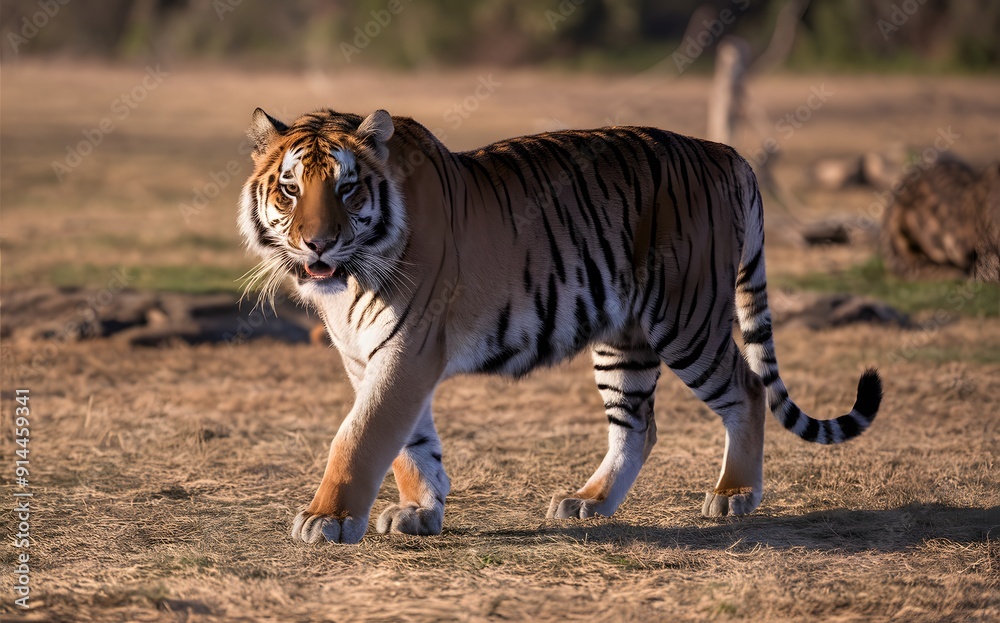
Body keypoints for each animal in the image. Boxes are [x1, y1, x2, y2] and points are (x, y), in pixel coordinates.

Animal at [237, 107, 883, 544]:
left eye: (347, 188)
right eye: (290, 189)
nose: (317, 243)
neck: (347, 285)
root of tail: (726, 153)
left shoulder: (408, 348)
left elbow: (361, 435)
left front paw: (326, 519)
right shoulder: (369, 357)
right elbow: (409, 444)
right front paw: (421, 510)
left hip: (687, 319)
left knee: (747, 388)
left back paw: (734, 496)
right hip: (624, 339)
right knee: (638, 426)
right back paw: (588, 502)